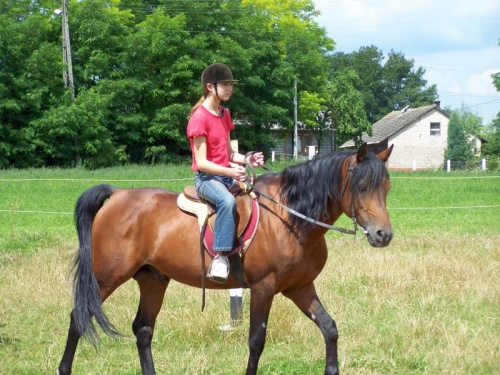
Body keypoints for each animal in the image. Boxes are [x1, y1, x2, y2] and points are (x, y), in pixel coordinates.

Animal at [57, 142, 394, 374]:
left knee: (142, 329)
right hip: (107, 277)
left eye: (387, 188)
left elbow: (329, 328)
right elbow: (256, 341)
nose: (383, 235)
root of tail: (116, 195)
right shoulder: (263, 288)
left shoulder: (300, 287)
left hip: (153, 280)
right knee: (78, 316)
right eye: (363, 187)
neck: (288, 216)